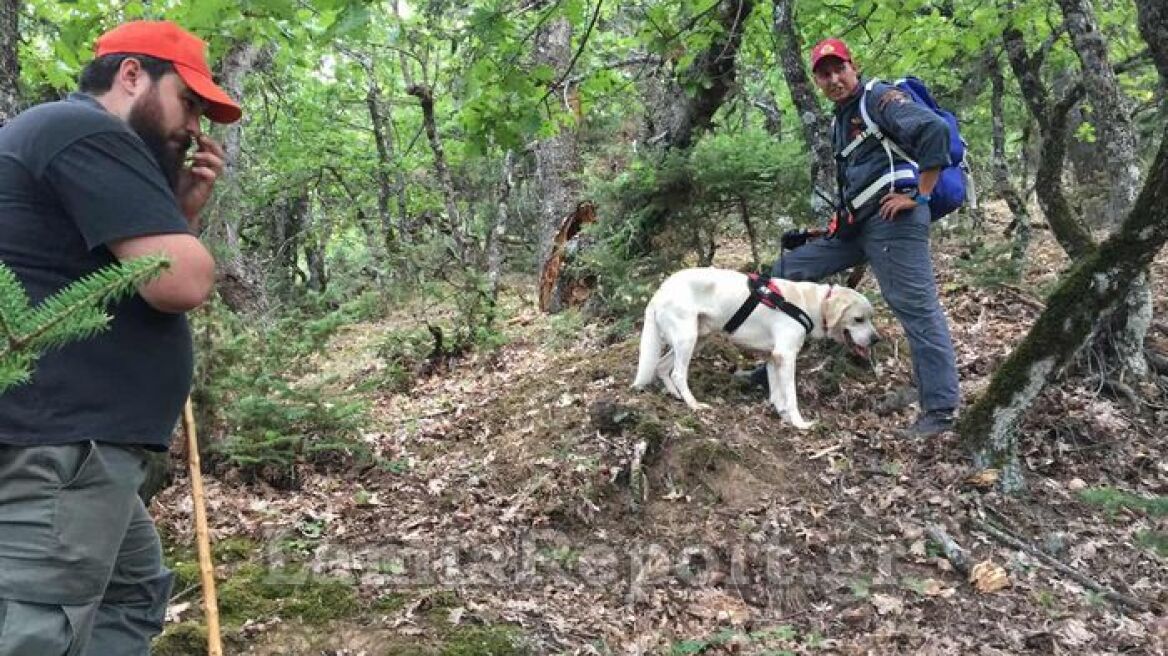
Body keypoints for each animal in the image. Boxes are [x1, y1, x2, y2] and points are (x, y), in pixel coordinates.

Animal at [635, 266, 878, 429]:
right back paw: (694, 404)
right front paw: (799, 422)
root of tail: (660, 291)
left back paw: (675, 394)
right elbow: (791, 395)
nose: (876, 339)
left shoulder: (773, 358)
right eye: (858, 319)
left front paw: (783, 416)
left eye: (870, 318)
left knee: (661, 366)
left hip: (696, 338)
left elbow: (778, 394)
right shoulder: (786, 356)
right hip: (687, 338)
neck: (812, 304)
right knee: (677, 373)